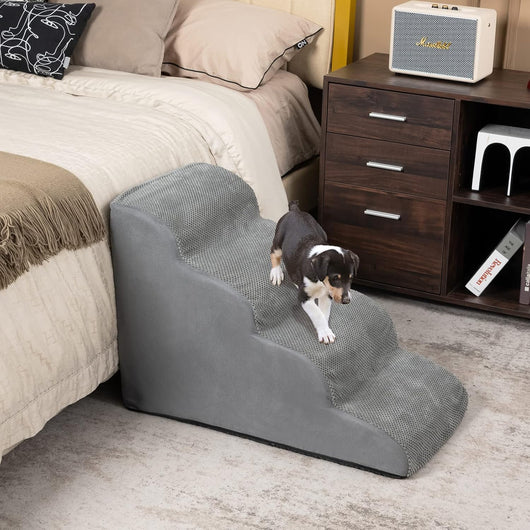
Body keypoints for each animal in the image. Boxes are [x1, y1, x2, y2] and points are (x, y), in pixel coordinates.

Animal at [270, 201, 359, 344]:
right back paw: (276, 273)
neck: (319, 280)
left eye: (351, 278)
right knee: (274, 253)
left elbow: (323, 313)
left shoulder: (327, 295)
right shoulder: (303, 297)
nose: (346, 301)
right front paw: (325, 333)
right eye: (335, 278)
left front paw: (326, 330)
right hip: (278, 240)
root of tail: (295, 210)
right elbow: (316, 313)